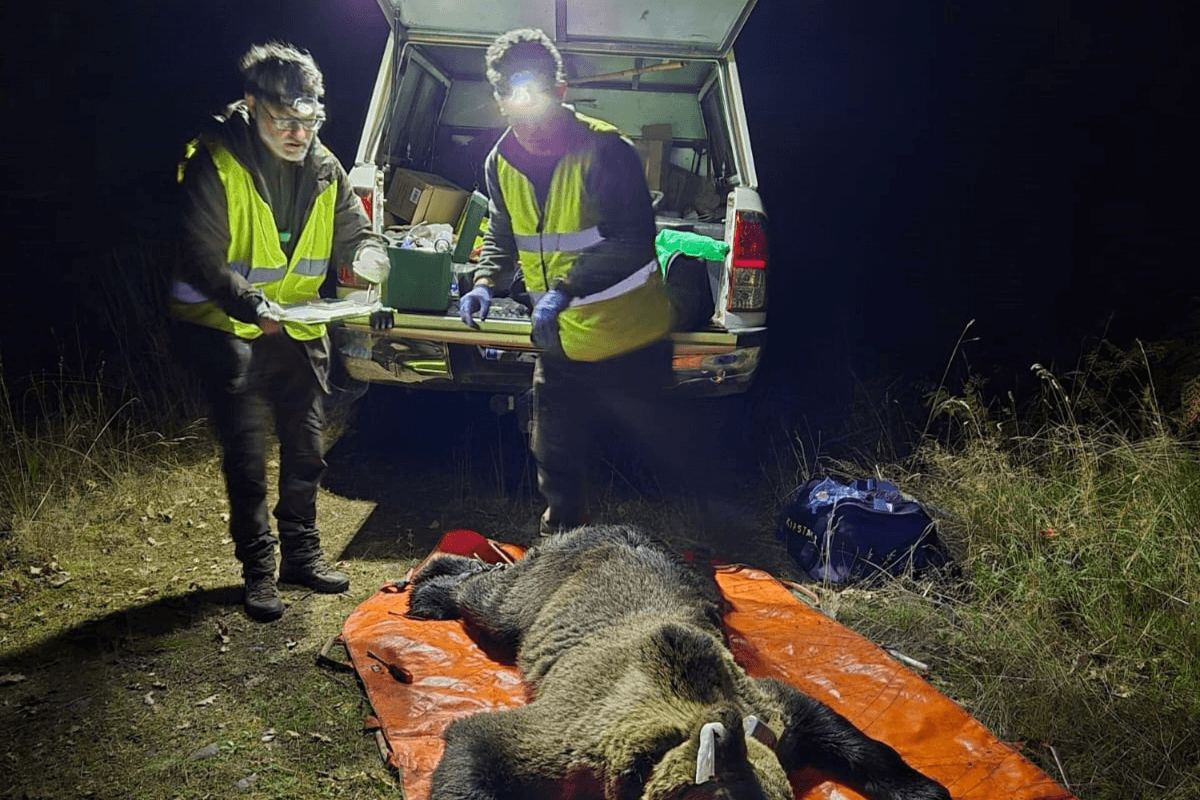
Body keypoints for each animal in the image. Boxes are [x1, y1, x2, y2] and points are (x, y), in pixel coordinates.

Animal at [408, 524, 951, 800]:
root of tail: (605, 523)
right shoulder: (564, 742)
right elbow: (477, 746)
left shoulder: (775, 712)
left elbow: (856, 740)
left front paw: (922, 789)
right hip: (534, 595)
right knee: (493, 596)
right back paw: (431, 586)